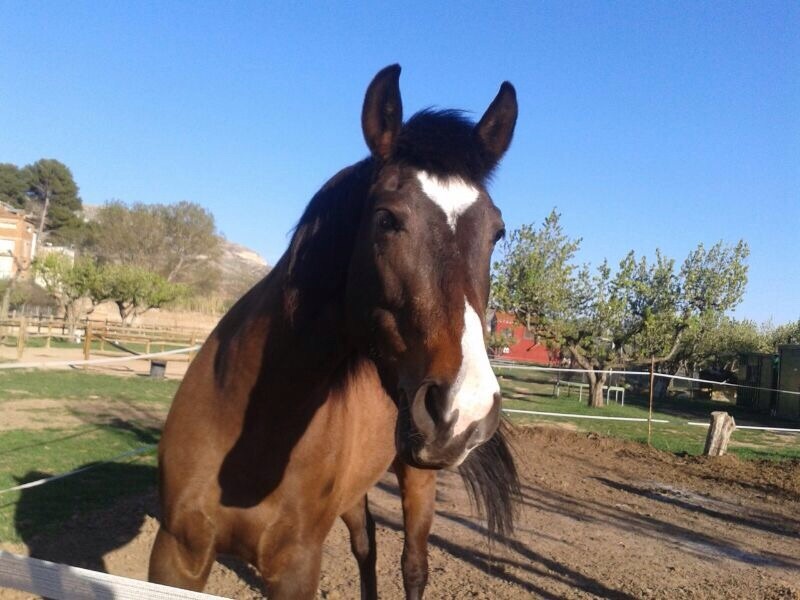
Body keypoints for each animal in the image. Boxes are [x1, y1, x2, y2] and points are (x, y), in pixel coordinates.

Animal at [148, 64, 520, 599]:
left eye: (497, 233)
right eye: (386, 218)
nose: (464, 411)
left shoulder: (296, 568)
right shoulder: (176, 554)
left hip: (417, 477)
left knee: (413, 564)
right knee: (367, 547)